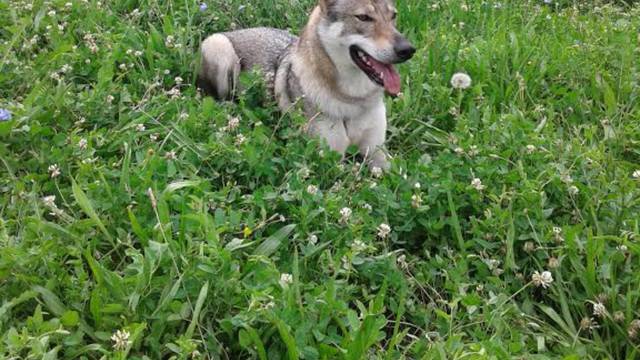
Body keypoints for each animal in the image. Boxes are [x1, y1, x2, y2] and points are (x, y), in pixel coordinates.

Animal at [198, 0, 416, 170]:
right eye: (363, 17)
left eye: (393, 16)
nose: (408, 50)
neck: (353, 101)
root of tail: (236, 29)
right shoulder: (331, 159)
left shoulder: (377, 151)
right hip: (219, 48)